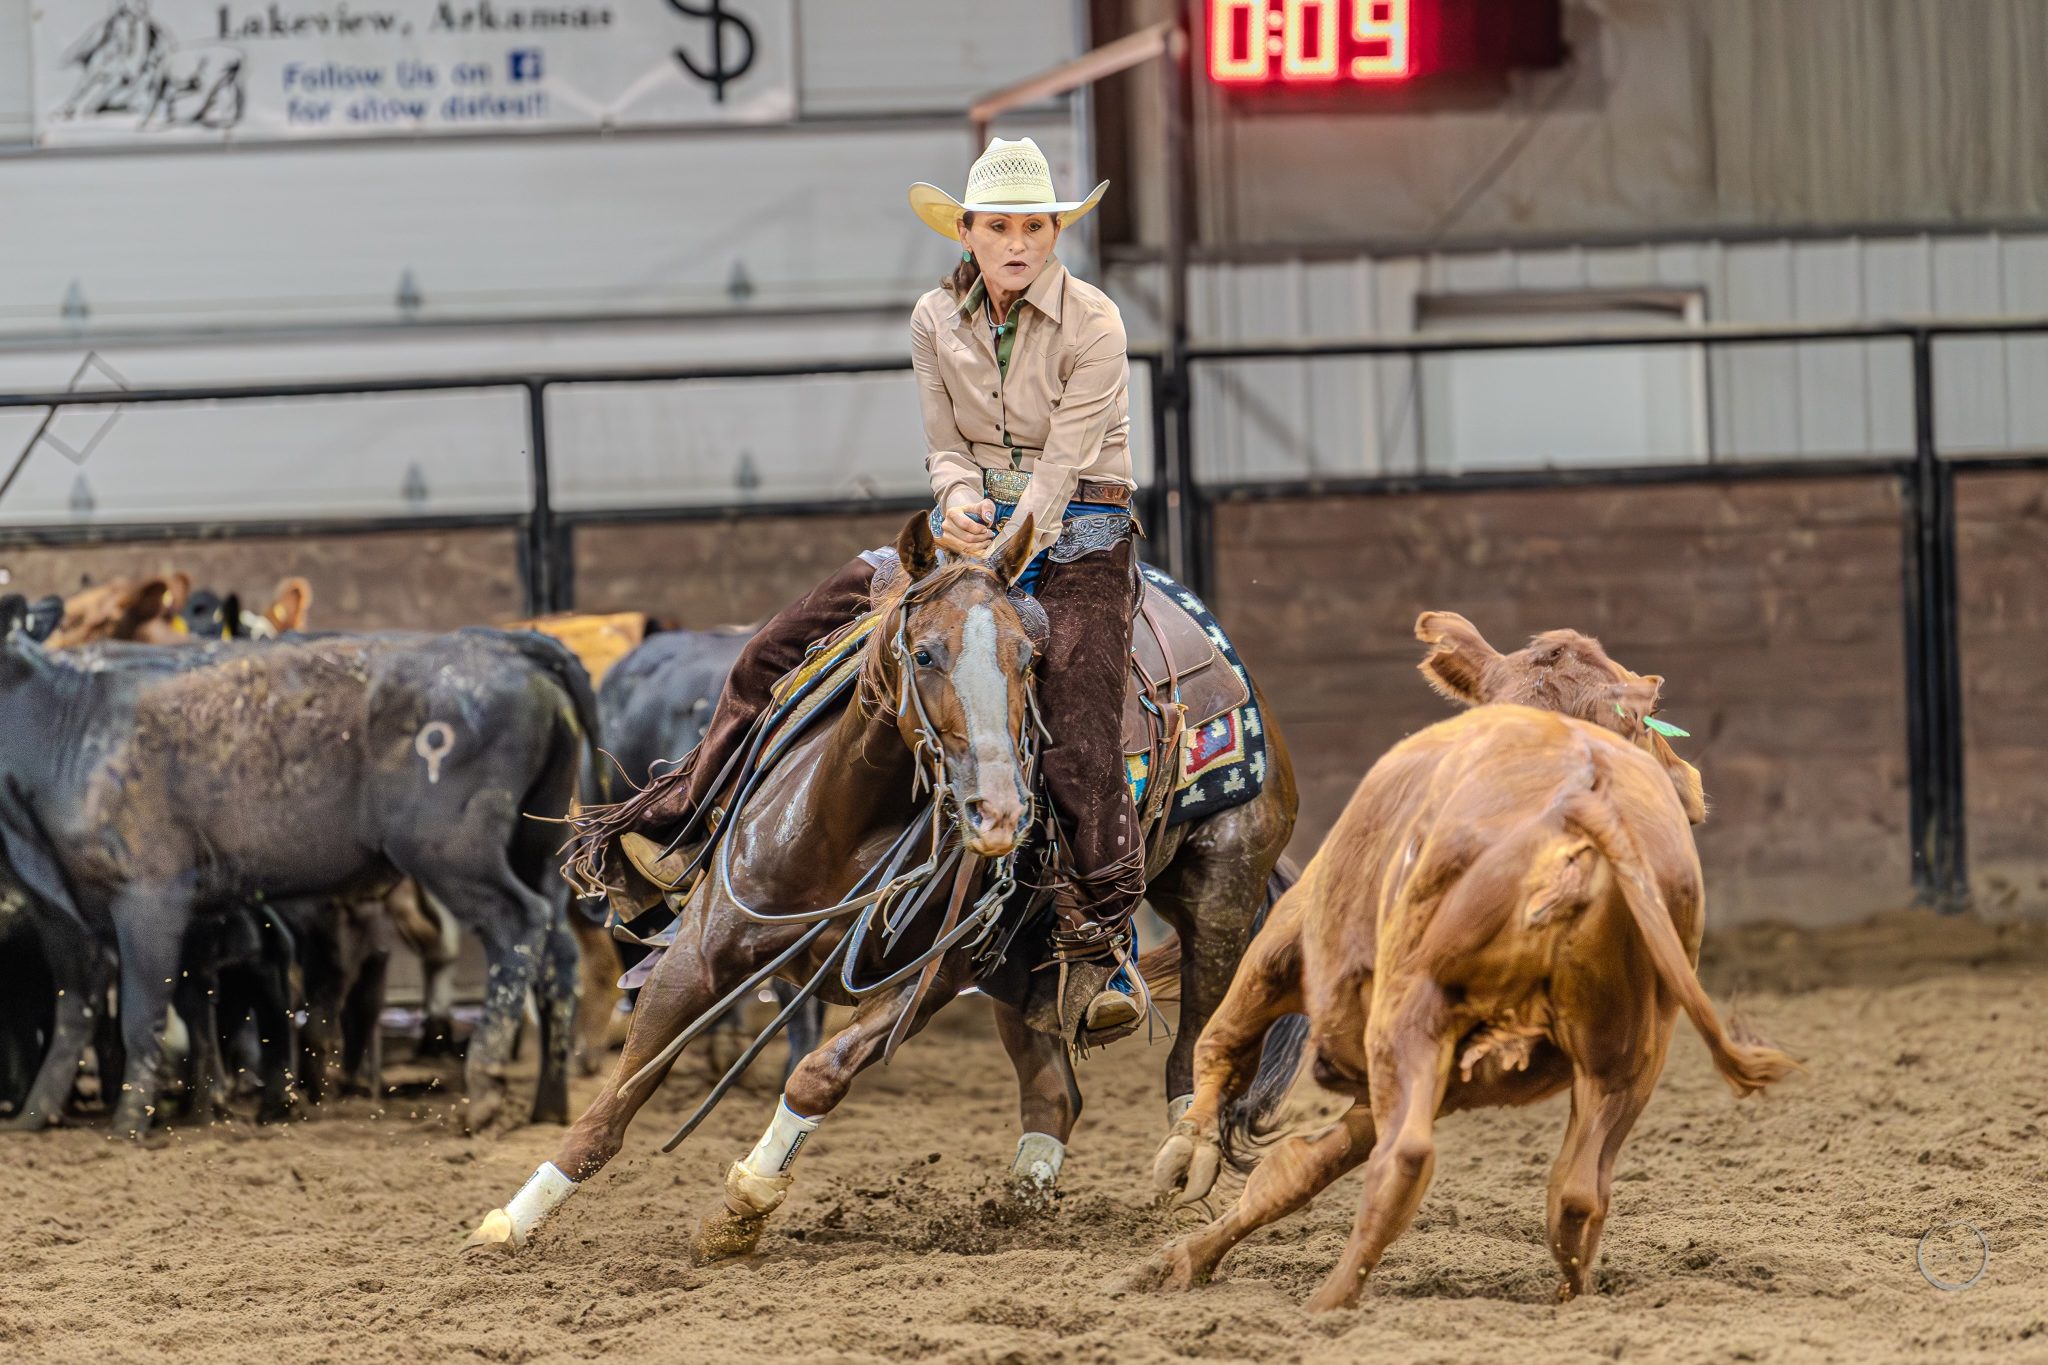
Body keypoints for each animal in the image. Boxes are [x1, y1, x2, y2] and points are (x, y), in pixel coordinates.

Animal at [461, 512, 1298, 1258]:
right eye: (924, 653)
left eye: (1030, 658)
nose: (1001, 812)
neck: (843, 823)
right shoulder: (696, 955)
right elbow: (621, 1094)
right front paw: (512, 1219)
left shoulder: (928, 978)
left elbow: (816, 1073)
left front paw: (743, 1206)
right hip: (1020, 969)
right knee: (1055, 1091)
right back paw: (1019, 1208)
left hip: (1220, 895)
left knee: (1191, 1057)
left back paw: (1184, 1171)